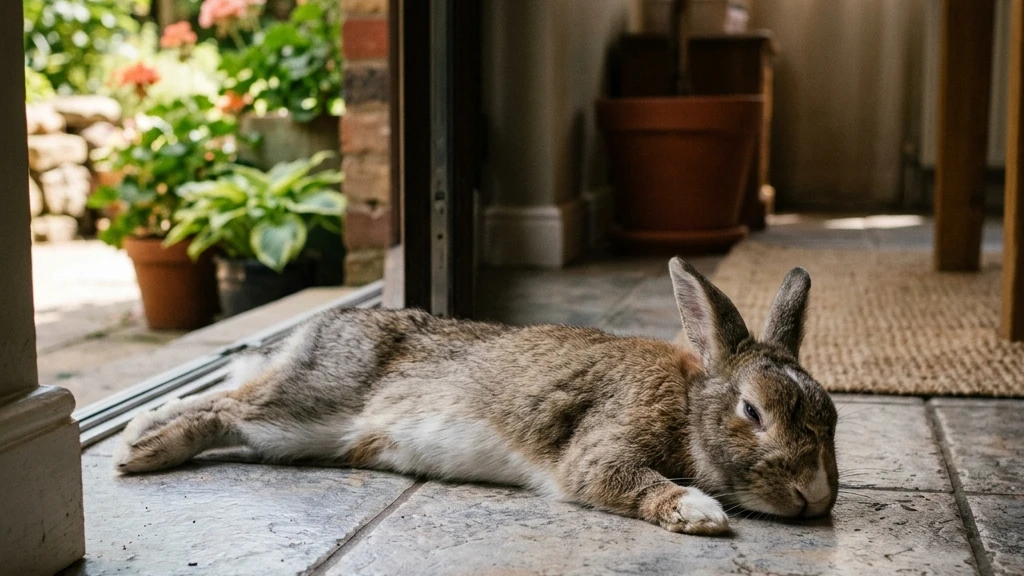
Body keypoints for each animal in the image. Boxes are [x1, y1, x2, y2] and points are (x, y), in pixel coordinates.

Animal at [113, 258, 838, 536]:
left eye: (832, 418)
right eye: (752, 412)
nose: (815, 497)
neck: (688, 406)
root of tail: (313, 329)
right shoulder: (600, 451)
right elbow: (629, 480)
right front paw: (700, 512)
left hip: (303, 437)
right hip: (309, 404)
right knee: (228, 406)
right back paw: (139, 444)